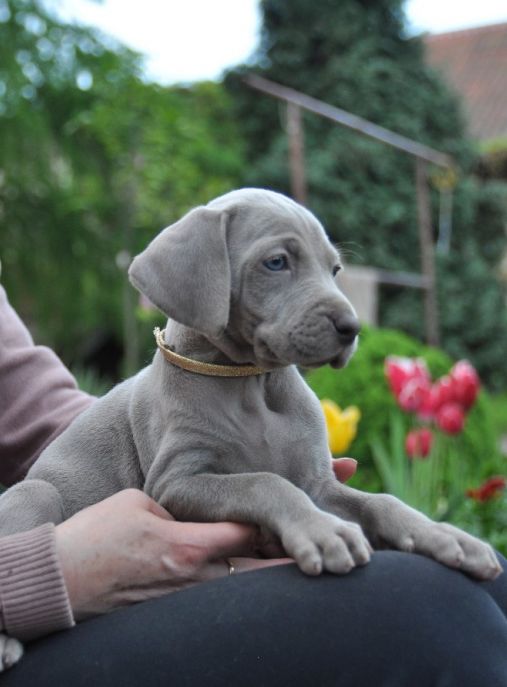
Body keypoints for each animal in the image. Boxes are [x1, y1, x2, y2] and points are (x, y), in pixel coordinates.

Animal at [0, 189, 500, 672]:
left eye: (335, 268)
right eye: (276, 262)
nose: (352, 327)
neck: (248, 381)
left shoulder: (319, 481)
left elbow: (381, 501)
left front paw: (442, 535)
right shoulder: (176, 483)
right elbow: (265, 482)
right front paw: (323, 530)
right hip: (36, 492)